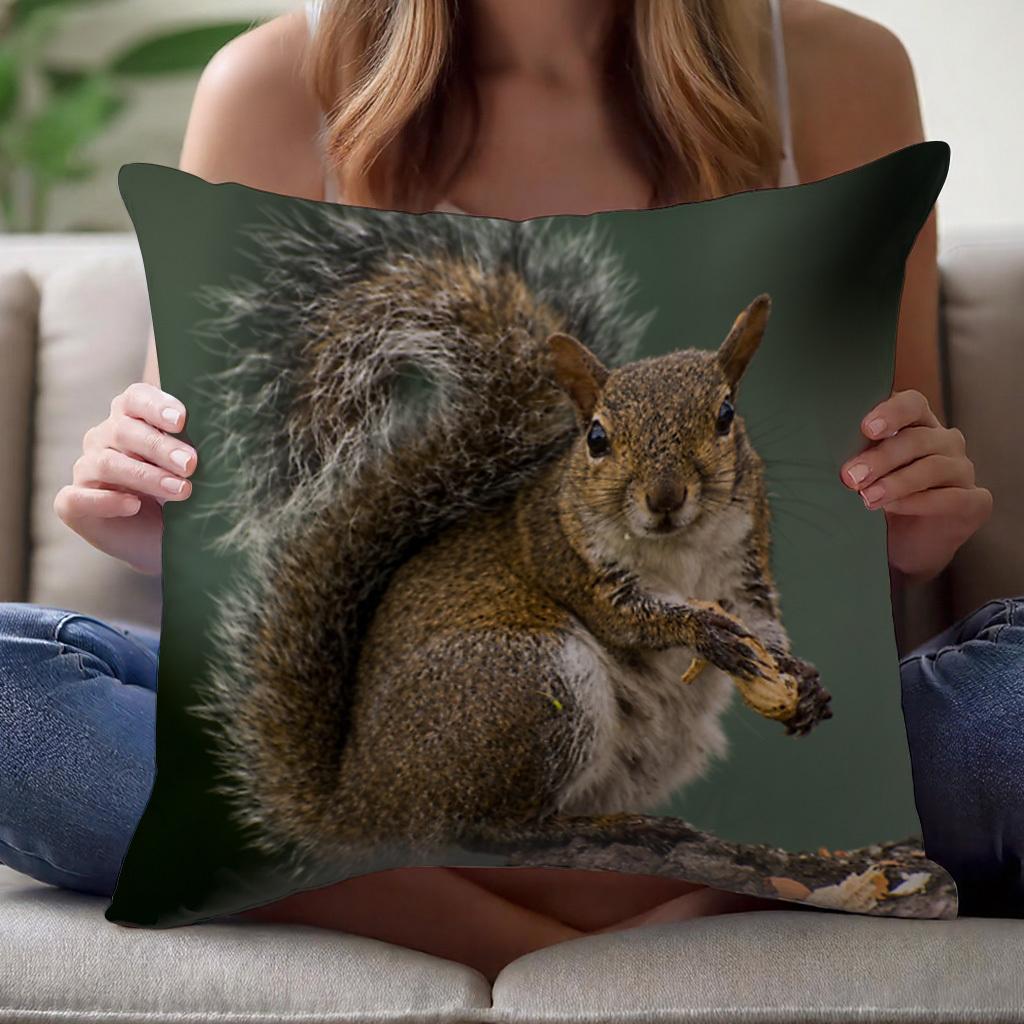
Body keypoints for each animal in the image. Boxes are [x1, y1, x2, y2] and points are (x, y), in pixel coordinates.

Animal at [191, 205, 833, 876]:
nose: (664, 498)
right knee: (485, 827)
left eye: (726, 416)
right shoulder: (569, 559)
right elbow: (634, 618)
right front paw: (702, 631)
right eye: (596, 438)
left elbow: (761, 621)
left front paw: (802, 679)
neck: (678, 551)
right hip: (533, 684)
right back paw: (603, 831)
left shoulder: (744, 567)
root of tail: (363, 810)